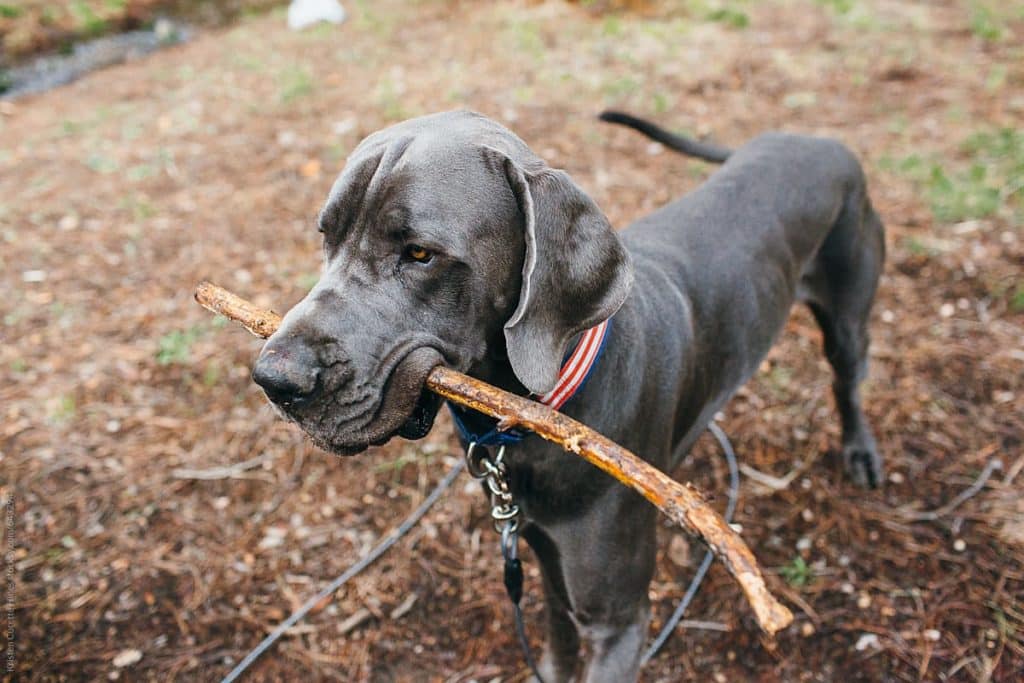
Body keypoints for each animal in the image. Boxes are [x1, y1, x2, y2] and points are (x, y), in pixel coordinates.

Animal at [251, 109, 884, 679]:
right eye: (327, 237)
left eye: (420, 253)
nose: (273, 379)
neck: (530, 419)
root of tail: (810, 136)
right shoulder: (545, 563)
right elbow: (557, 651)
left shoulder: (618, 622)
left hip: (848, 317)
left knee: (848, 383)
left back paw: (861, 453)